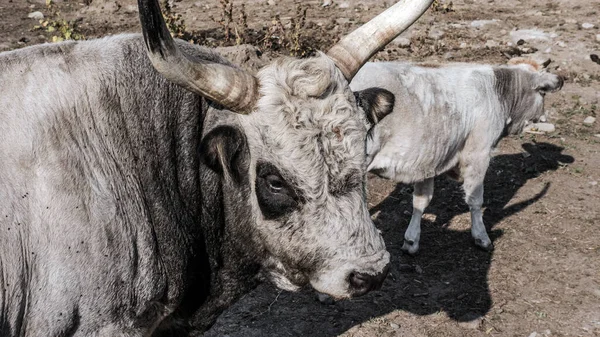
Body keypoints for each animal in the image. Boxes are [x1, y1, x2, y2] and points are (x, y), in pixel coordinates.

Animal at [352, 58, 564, 252]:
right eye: (542, 92)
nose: (542, 117)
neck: (497, 91)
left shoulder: (427, 158)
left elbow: (421, 200)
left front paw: (411, 241)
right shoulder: (478, 153)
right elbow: (475, 198)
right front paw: (481, 237)